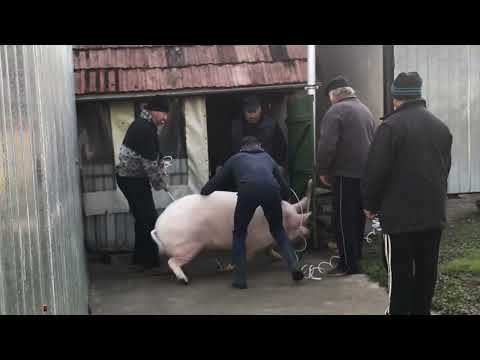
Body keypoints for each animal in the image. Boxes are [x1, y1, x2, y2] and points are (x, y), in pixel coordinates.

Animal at [152, 179, 314, 282]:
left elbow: (269, 249)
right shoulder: (254, 242)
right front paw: (230, 268)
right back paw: (184, 279)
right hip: (187, 247)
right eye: (296, 222)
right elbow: (248, 255)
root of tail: (158, 226)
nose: (308, 232)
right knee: (172, 261)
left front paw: (278, 257)